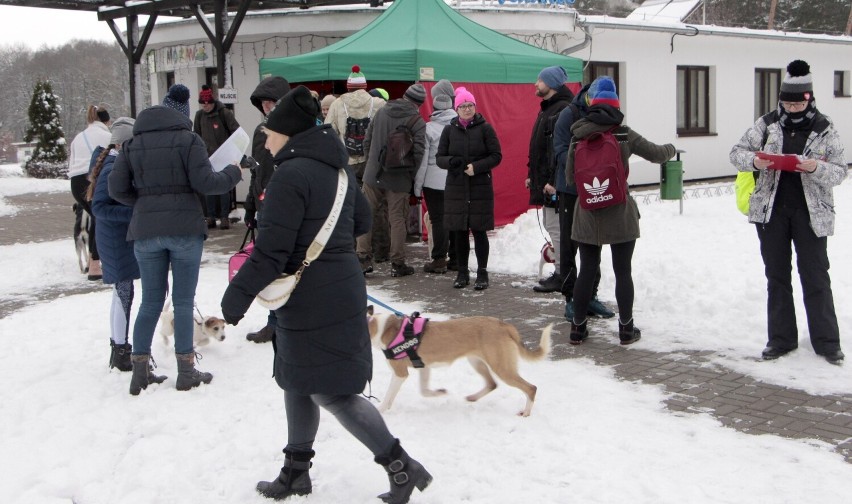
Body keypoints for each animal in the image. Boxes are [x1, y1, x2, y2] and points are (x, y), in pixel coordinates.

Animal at [366, 308, 552, 418]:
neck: (384, 329)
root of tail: (505, 326)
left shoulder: (400, 373)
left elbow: (389, 395)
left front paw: (380, 410)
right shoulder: (423, 366)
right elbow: (424, 391)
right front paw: (440, 393)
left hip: (502, 367)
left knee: (531, 388)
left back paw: (526, 412)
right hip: (477, 361)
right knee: (492, 384)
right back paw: (473, 397)